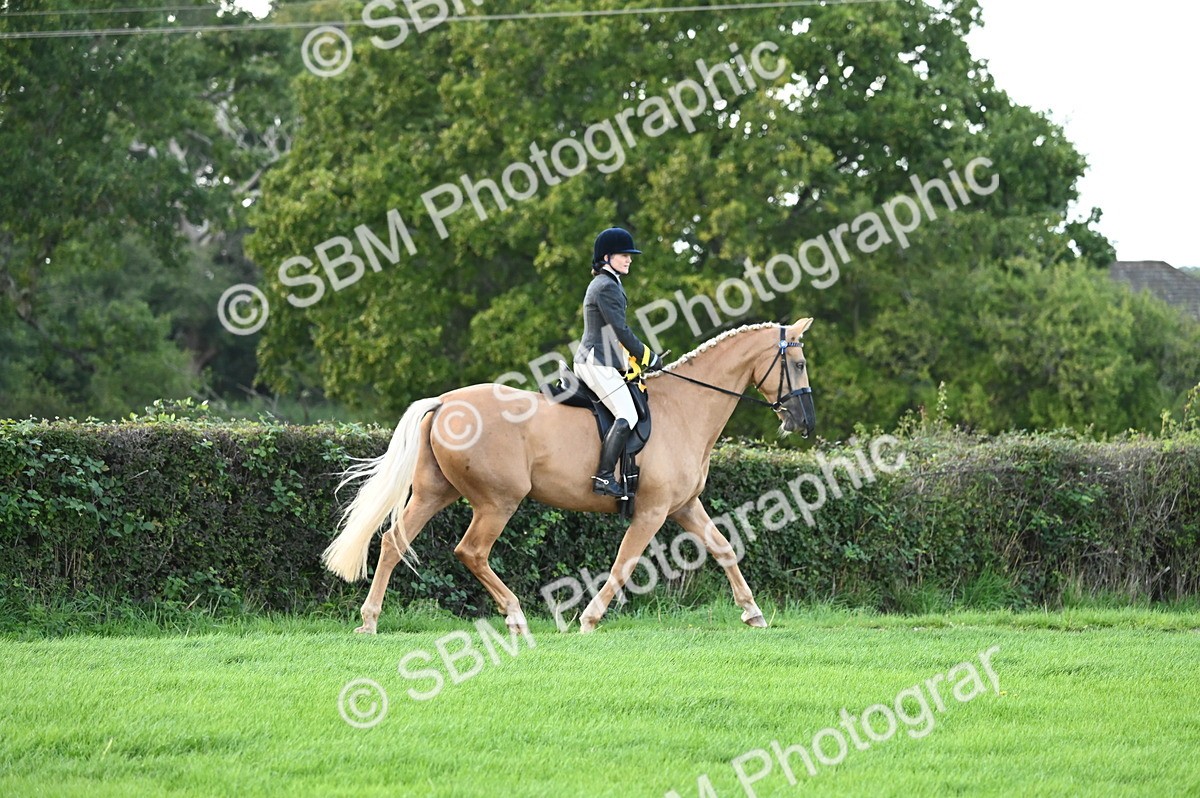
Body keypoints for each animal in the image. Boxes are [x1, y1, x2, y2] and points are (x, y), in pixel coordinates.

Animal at [322, 318, 816, 634]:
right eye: (799, 365)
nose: (803, 422)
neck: (683, 407)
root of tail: (445, 402)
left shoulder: (683, 506)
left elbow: (724, 548)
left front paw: (753, 613)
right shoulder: (653, 511)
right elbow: (624, 563)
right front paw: (589, 618)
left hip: (434, 492)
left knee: (394, 541)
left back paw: (369, 620)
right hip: (498, 501)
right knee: (471, 551)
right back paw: (516, 616)